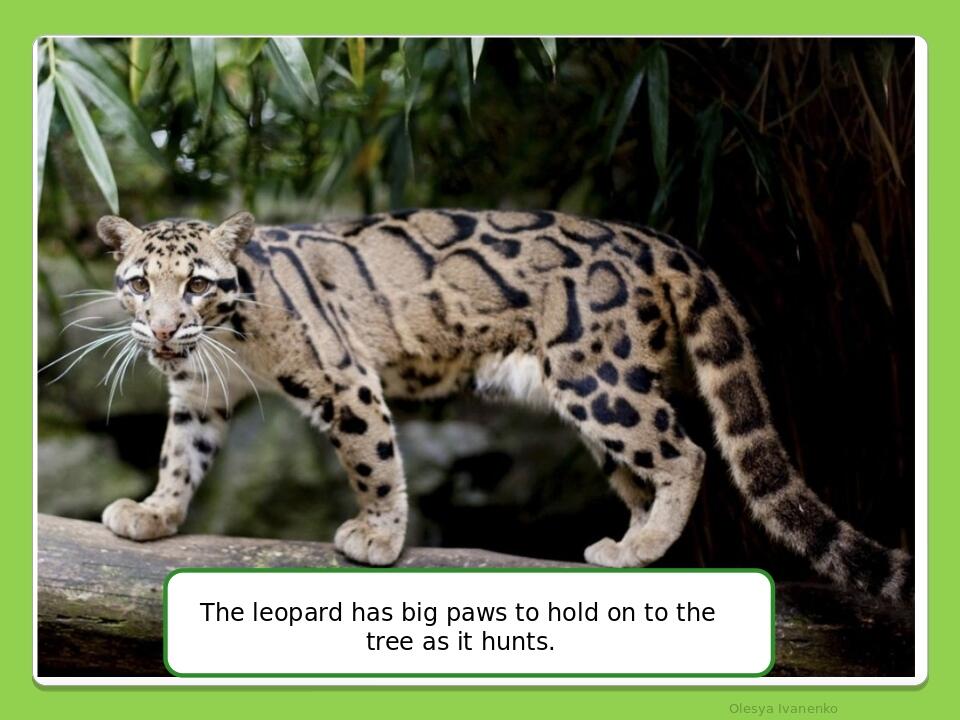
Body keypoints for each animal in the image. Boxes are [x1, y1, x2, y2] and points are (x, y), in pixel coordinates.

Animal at [90, 208, 912, 601]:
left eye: (198, 283)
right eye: (139, 284)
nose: (161, 329)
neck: (224, 341)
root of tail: (658, 240)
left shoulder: (343, 375)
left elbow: (372, 459)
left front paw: (379, 536)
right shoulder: (199, 394)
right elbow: (180, 455)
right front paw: (155, 513)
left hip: (599, 380)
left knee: (687, 452)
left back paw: (642, 547)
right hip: (599, 398)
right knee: (641, 473)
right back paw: (631, 544)